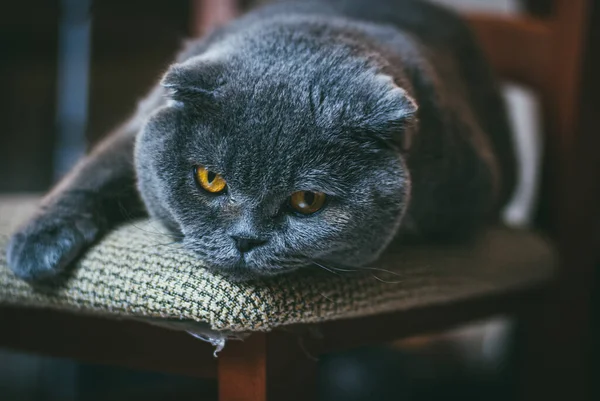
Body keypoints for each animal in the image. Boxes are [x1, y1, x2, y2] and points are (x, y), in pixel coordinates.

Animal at [4, 0, 516, 282]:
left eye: (308, 201)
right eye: (210, 179)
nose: (245, 239)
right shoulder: (141, 121)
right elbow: (95, 169)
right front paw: (36, 247)